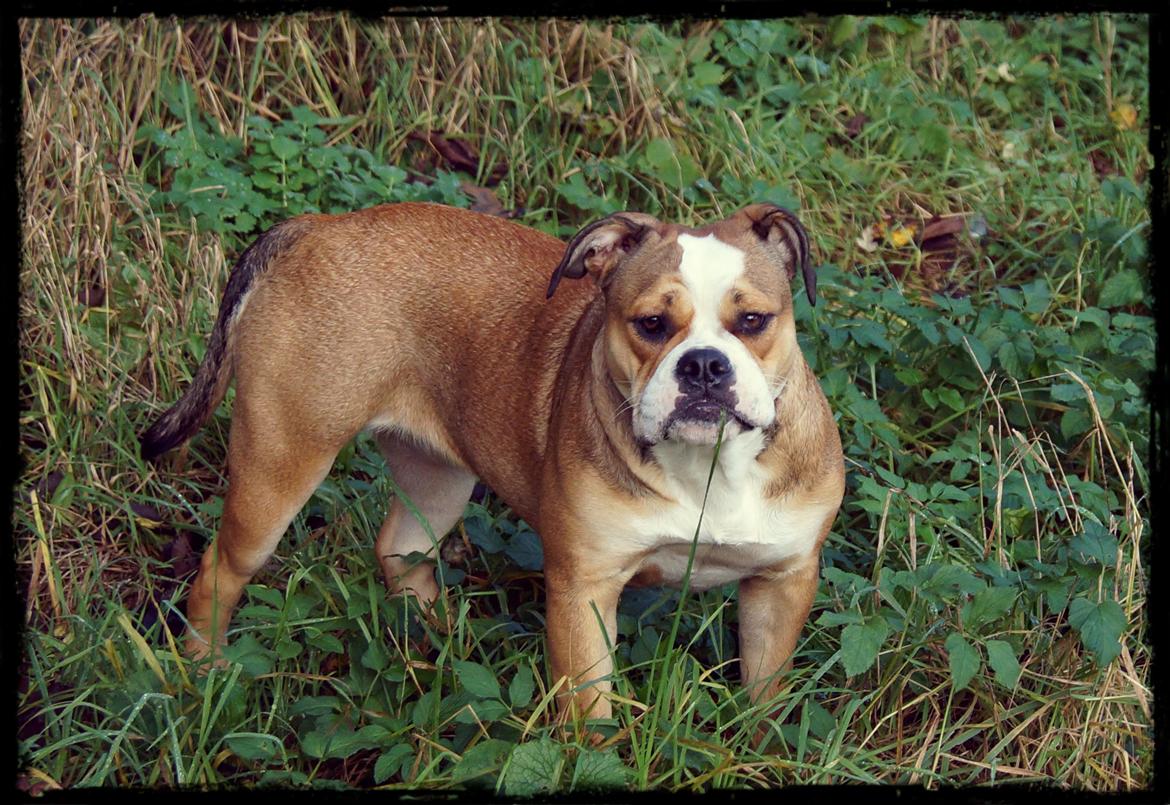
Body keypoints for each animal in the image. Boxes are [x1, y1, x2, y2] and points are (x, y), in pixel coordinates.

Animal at [141, 201, 842, 716]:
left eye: (753, 321)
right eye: (649, 324)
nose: (702, 366)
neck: (707, 470)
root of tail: (318, 227)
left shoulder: (781, 585)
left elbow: (765, 694)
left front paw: (760, 745)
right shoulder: (584, 592)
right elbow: (590, 713)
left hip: (439, 479)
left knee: (403, 549)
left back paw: (444, 640)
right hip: (280, 466)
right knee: (220, 571)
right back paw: (202, 671)